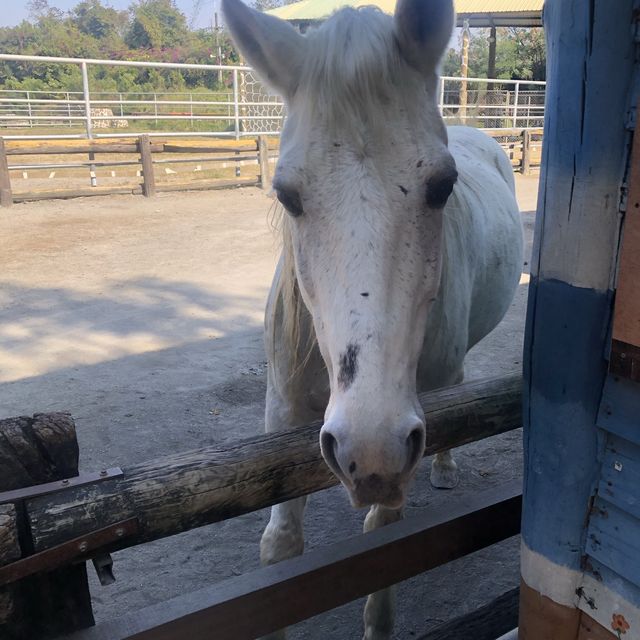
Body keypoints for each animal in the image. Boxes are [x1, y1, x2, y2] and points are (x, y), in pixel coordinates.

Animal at [222, 2, 524, 636]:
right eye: (286, 195)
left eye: (442, 186)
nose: (371, 446)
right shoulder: (283, 412)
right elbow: (280, 548)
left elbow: (382, 541)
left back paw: (446, 466)